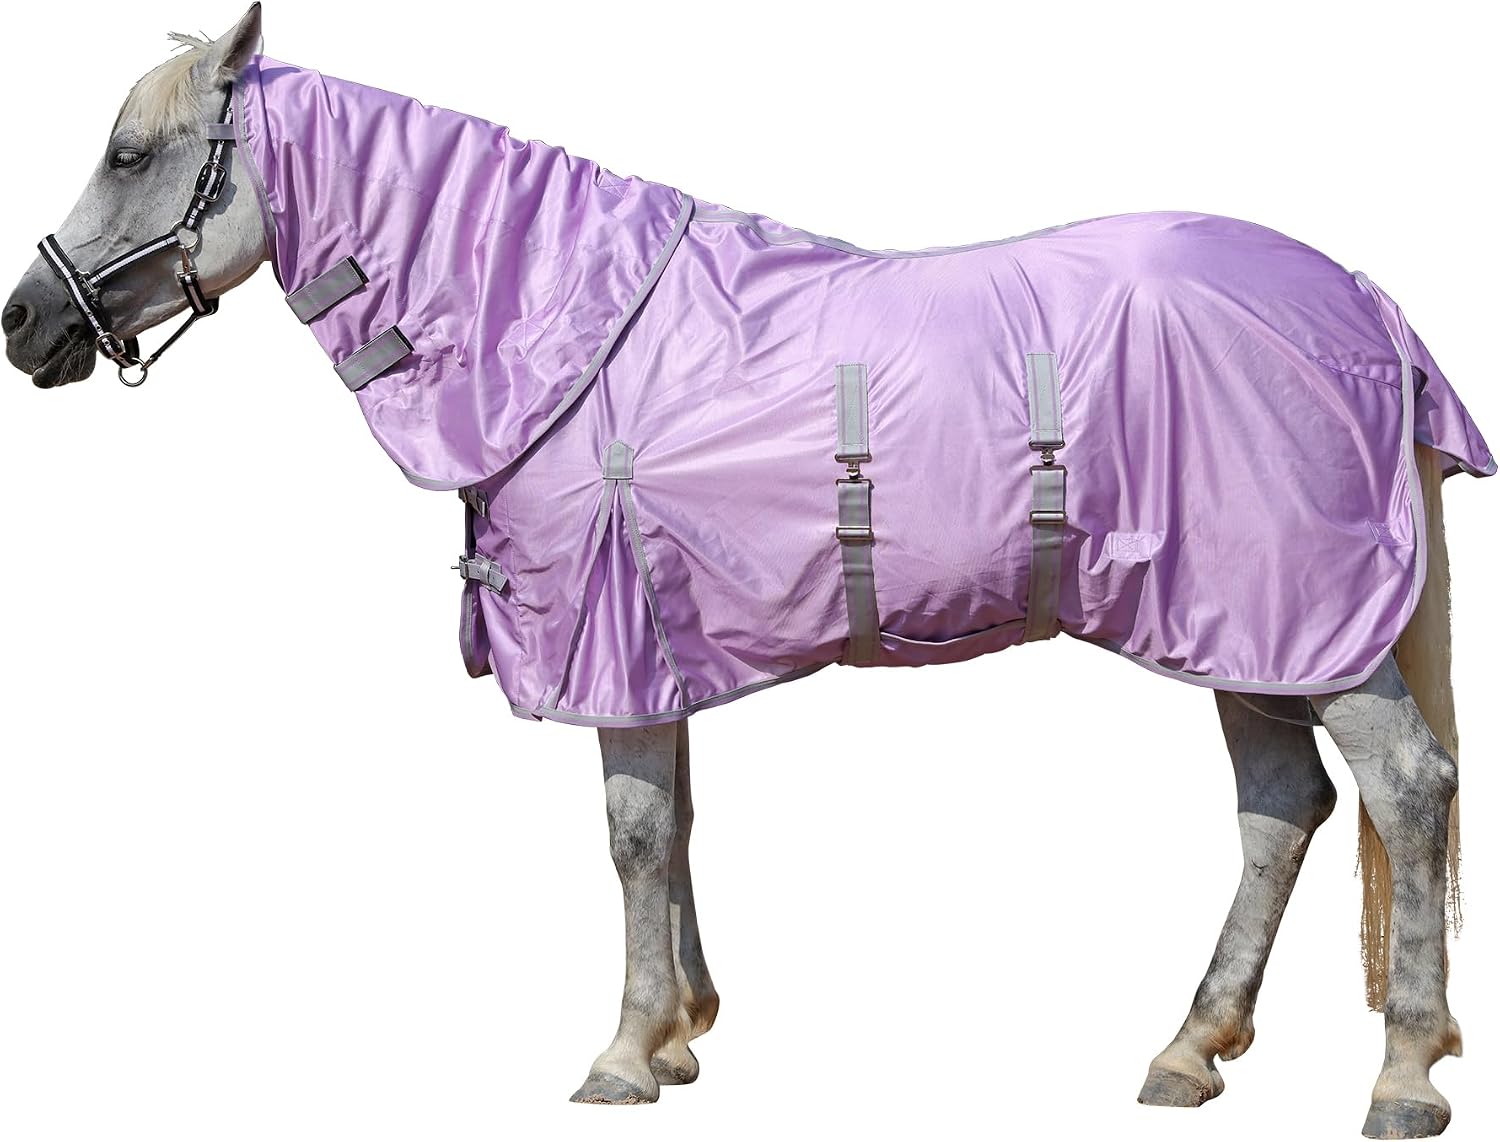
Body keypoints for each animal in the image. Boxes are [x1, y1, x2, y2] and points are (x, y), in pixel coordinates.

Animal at [3, 6, 1488, 1135]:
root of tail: (1366, 304)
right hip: (1243, 631)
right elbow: (672, 829)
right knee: (1281, 810)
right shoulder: (661, 642)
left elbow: (629, 833)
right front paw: (678, 1032)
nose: (25, 323)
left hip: (1317, 627)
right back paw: (1189, 1047)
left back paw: (1403, 1075)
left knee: (1408, 790)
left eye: (130, 152)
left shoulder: (613, 641)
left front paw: (620, 1054)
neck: (559, 323)